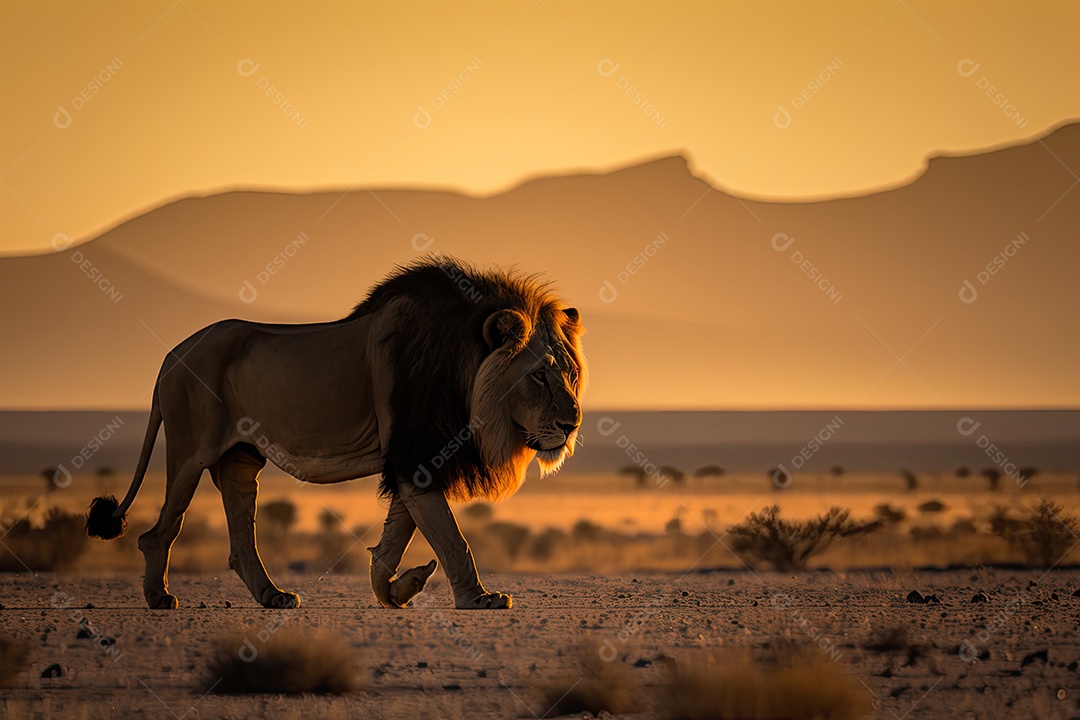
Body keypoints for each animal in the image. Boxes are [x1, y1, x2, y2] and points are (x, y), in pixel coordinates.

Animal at [85, 256, 586, 610]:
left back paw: (274, 596)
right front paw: (477, 599)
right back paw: (158, 597)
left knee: (240, 534)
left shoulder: (414, 455)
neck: (464, 367)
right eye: (538, 376)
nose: (572, 424)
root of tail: (173, 355)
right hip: (191, 450)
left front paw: (394, 589)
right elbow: (451, 538)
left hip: (240, 457)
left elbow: (398, 535)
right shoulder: (417, 454)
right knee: (161, 530)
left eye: (570, 374)